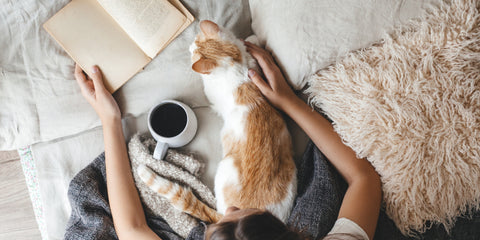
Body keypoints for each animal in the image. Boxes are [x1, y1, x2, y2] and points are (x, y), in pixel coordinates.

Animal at [138, 19, 296, 224]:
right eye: (195, 40)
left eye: (194, 50)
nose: (189, 47)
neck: (235, 65)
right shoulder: (255, 67)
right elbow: (250, 45)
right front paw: (251, 40)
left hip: (225, 167)